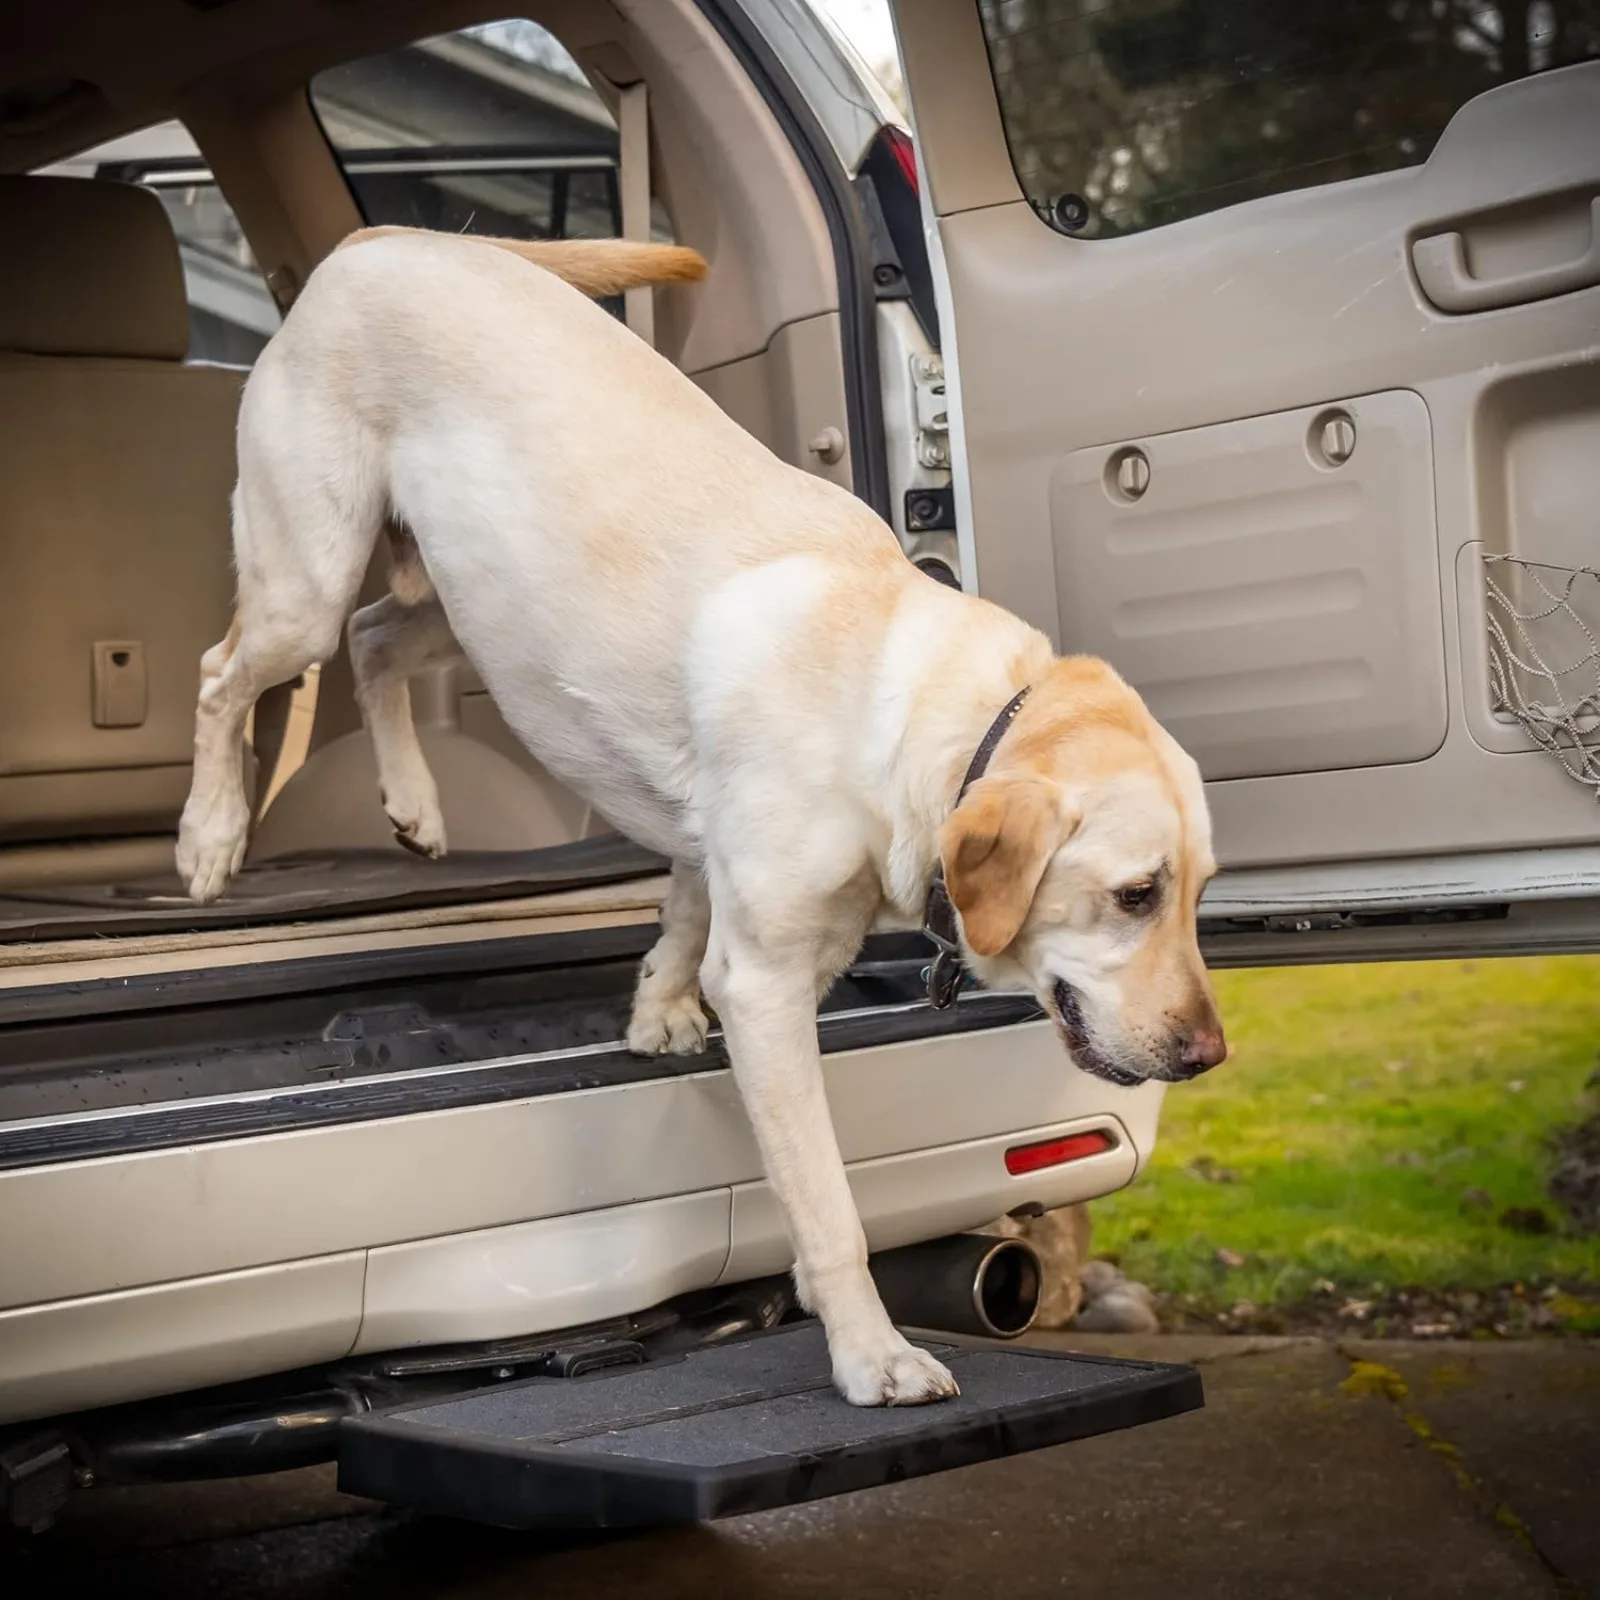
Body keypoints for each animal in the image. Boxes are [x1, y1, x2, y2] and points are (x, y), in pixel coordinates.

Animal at [178, 232, 1222, 1408]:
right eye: (1135, 894)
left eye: (1200, 893)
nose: (1209, 1052)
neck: (896, 699)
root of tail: (389, 241)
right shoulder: (768, 987)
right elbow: (828, 1206)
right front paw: (872, 1354)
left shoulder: (718, 856)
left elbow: (681, 909)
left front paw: (656, 1009)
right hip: (306, 579)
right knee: (227, 673)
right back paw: (209, 839)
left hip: (463, 600)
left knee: (371, 642)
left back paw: (412, 803)